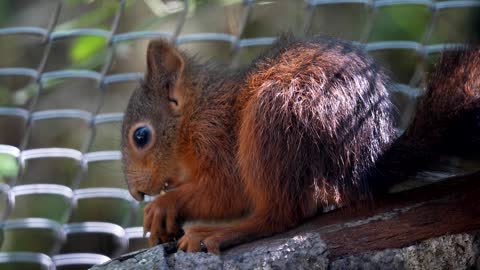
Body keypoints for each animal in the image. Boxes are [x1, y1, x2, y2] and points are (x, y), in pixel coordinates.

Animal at [121, 33, 480, 253]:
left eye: (141, 136)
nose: (136, 193)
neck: (196, 114)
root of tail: (362, 165)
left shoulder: (215, 136)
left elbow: (228, 191)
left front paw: (163, 206)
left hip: (275, 119)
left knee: (282, 214)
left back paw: (222, 231)